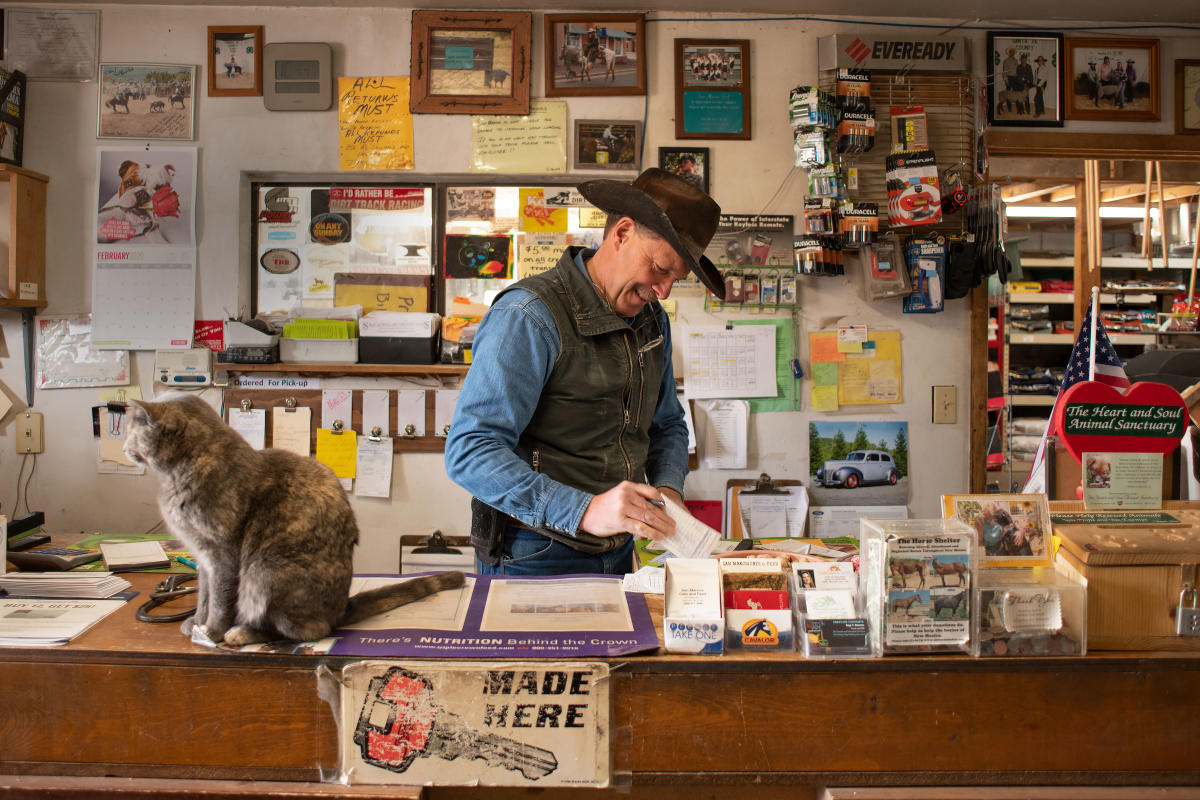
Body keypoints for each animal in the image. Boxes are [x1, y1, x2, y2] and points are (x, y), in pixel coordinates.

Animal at [119, 395, 460, 652]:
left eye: (133, 431)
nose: (123, 448)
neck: (182, 468)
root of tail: (341, 609)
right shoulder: (202, 555)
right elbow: (204, 594)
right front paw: (195, 623)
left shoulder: (222, 552)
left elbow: (220, 598)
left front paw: (210, 631)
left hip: (267, 570)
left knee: (308, 629)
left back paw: (242, 633)